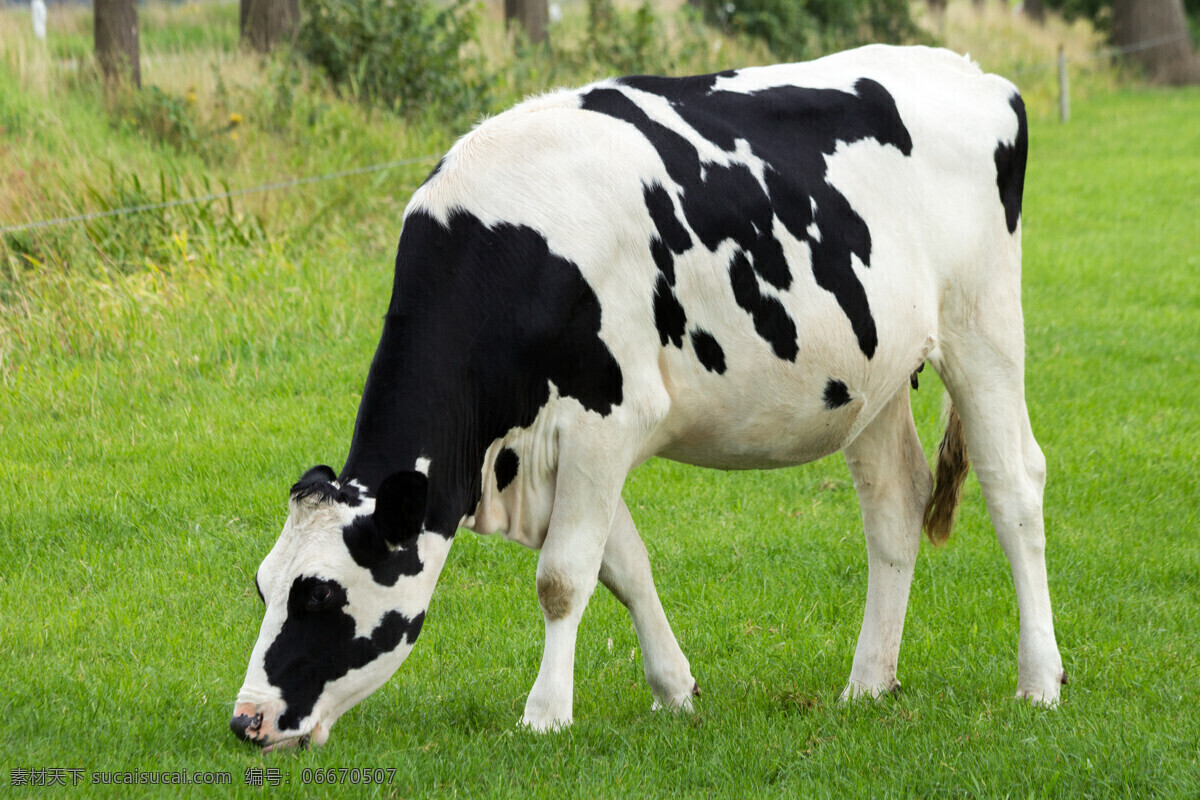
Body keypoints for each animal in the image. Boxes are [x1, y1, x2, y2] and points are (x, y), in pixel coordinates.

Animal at [229, 45, 1065, 753]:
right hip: (874, 374)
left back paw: (1039, 681)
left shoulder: (607, 417)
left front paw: (545, 714)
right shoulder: (570, 443)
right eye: (263, 586)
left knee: (1014, 486)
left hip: (983, 323)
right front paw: (674, 690)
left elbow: (563, 576)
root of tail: (974, 73)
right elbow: (623, 565)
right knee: (894, 504)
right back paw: (867, 683)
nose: (246, 721)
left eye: (319, 596)